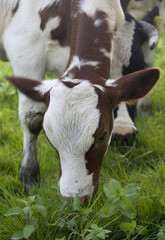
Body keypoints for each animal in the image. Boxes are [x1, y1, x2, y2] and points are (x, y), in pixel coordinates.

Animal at [0, 0, 160, 202]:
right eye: (49, 137)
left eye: (103, 136)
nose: (76, 197)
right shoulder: (25, 52)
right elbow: (33, 119)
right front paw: (29, 178)